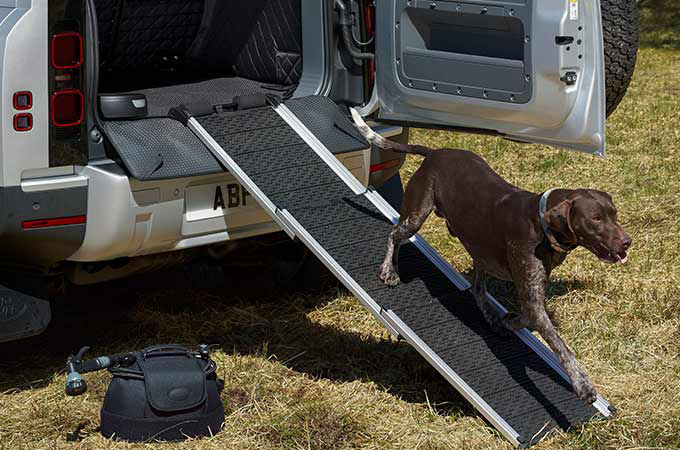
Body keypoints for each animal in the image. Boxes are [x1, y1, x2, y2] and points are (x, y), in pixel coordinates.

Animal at [350, 109, 632, 404]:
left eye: (614, 214)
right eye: (595, 219)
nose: (627, 242)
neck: (541, 223)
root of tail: (435, 153)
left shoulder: (532, 297)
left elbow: (524, 318)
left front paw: (507, 321)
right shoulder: (533, 299)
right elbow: (561, 345)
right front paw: (582, 383)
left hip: (481, 253)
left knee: (477, 288)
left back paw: (491, 316)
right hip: (416, 215)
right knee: (395, 234)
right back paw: (389, 270)